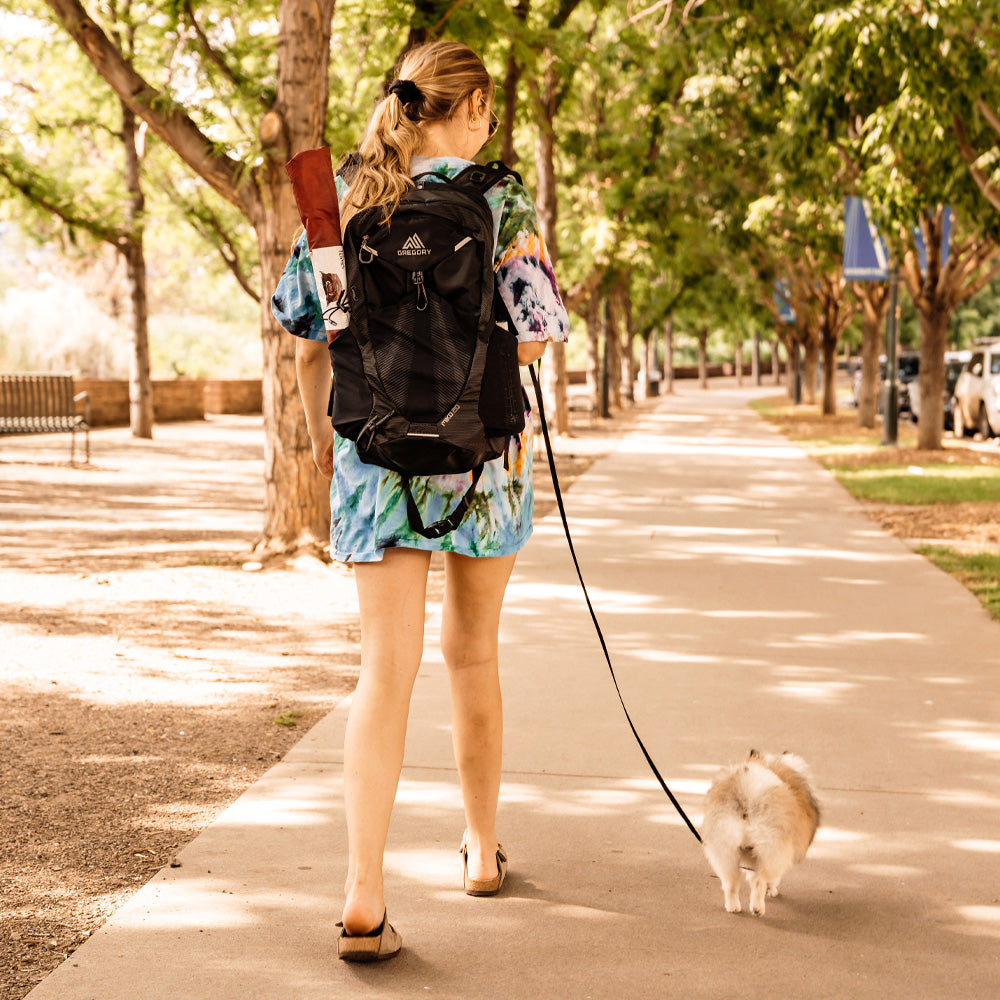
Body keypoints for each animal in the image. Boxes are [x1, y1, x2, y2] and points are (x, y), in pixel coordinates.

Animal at [704, 752, 820, 916]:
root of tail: (748, 796)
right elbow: (770, 879)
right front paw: (772, 891)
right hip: (769, 849)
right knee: (759, 881)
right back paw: (757, 908)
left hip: (725, 850)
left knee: (730, 883)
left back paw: (733, 907)